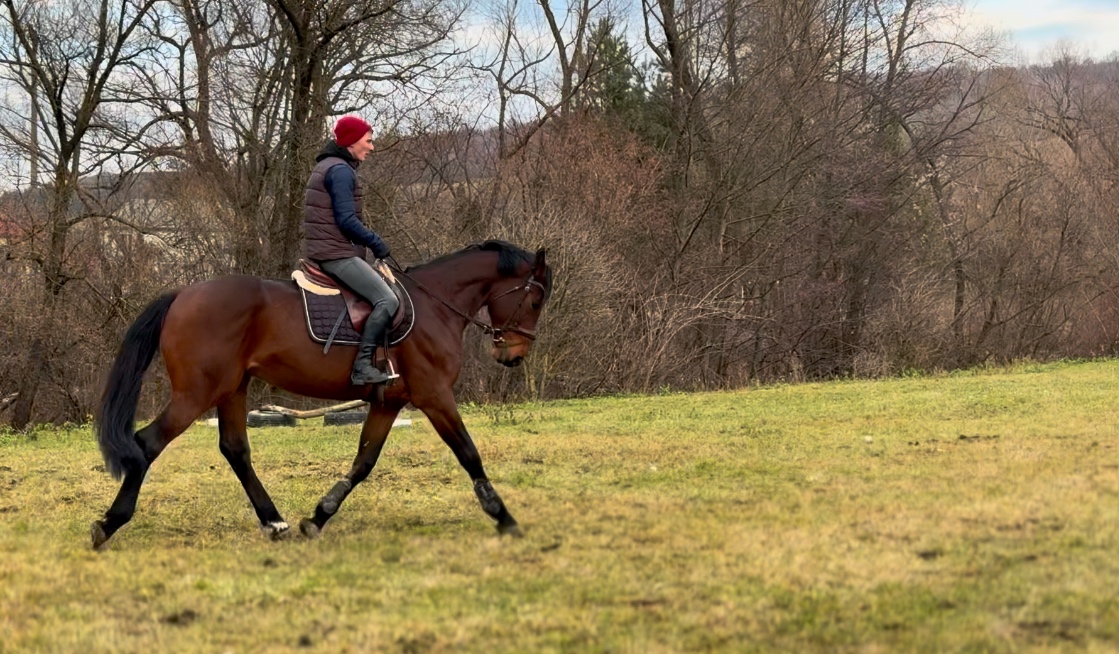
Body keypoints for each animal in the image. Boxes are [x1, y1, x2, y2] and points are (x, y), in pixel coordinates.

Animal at [91, 239, 550, 546]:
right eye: (535, 302)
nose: (513, 355)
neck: (434, 306)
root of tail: (181, 296)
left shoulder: (391, 402)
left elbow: (363, 463)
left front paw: (319, 517)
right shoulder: (435, 396)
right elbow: (469, 454)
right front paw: (504, 516)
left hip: (232, 388)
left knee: (235, 449)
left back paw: (274, 522)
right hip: (197, 393)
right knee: (148, 443)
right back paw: (110, 523)